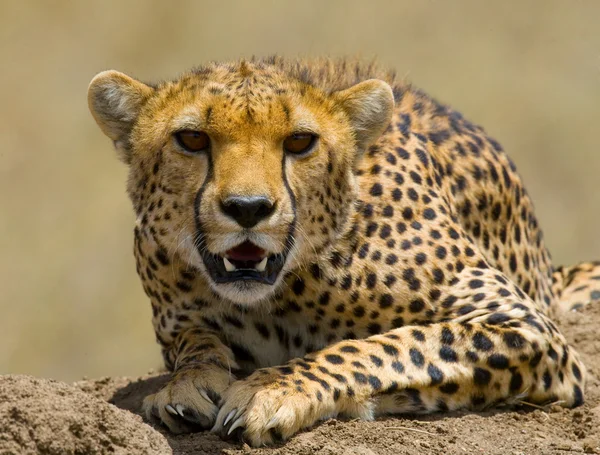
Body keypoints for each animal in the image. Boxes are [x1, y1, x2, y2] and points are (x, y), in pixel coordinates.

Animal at [86, 58, 596, 448]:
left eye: (300, 141)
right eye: (191, 139)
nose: (248, 208)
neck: (286, 291)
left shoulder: (526, 326)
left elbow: (386, 345)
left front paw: (273, 389)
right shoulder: (177, 319)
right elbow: (194, 343)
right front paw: (189, 384)